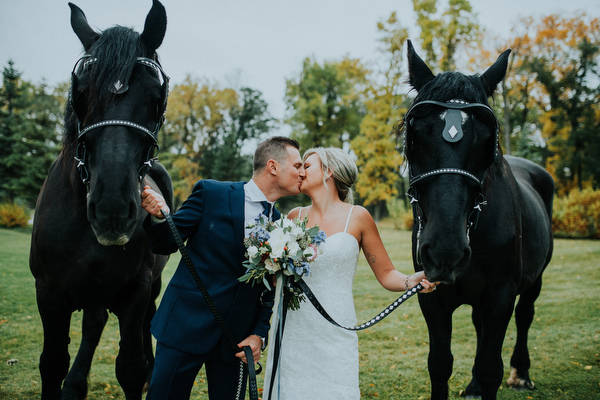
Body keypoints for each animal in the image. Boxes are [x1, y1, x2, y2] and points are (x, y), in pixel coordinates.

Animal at [29, 1, 172, 398]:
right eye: (80, 93)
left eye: (155, 98)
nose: (112, 210)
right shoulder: (48, 293)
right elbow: (52, 363)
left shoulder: (136, 291)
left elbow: (131, 368)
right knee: (93, 325)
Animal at [400, 41, 556, 400]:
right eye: (415, 136)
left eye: (487, 140)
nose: (445, 251)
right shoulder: (431, 297)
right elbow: (439, 364)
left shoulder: (500, 296)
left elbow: (490, 369)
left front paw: (493, 375)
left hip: (535, 277)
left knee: (525, 314)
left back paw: (521, 371)